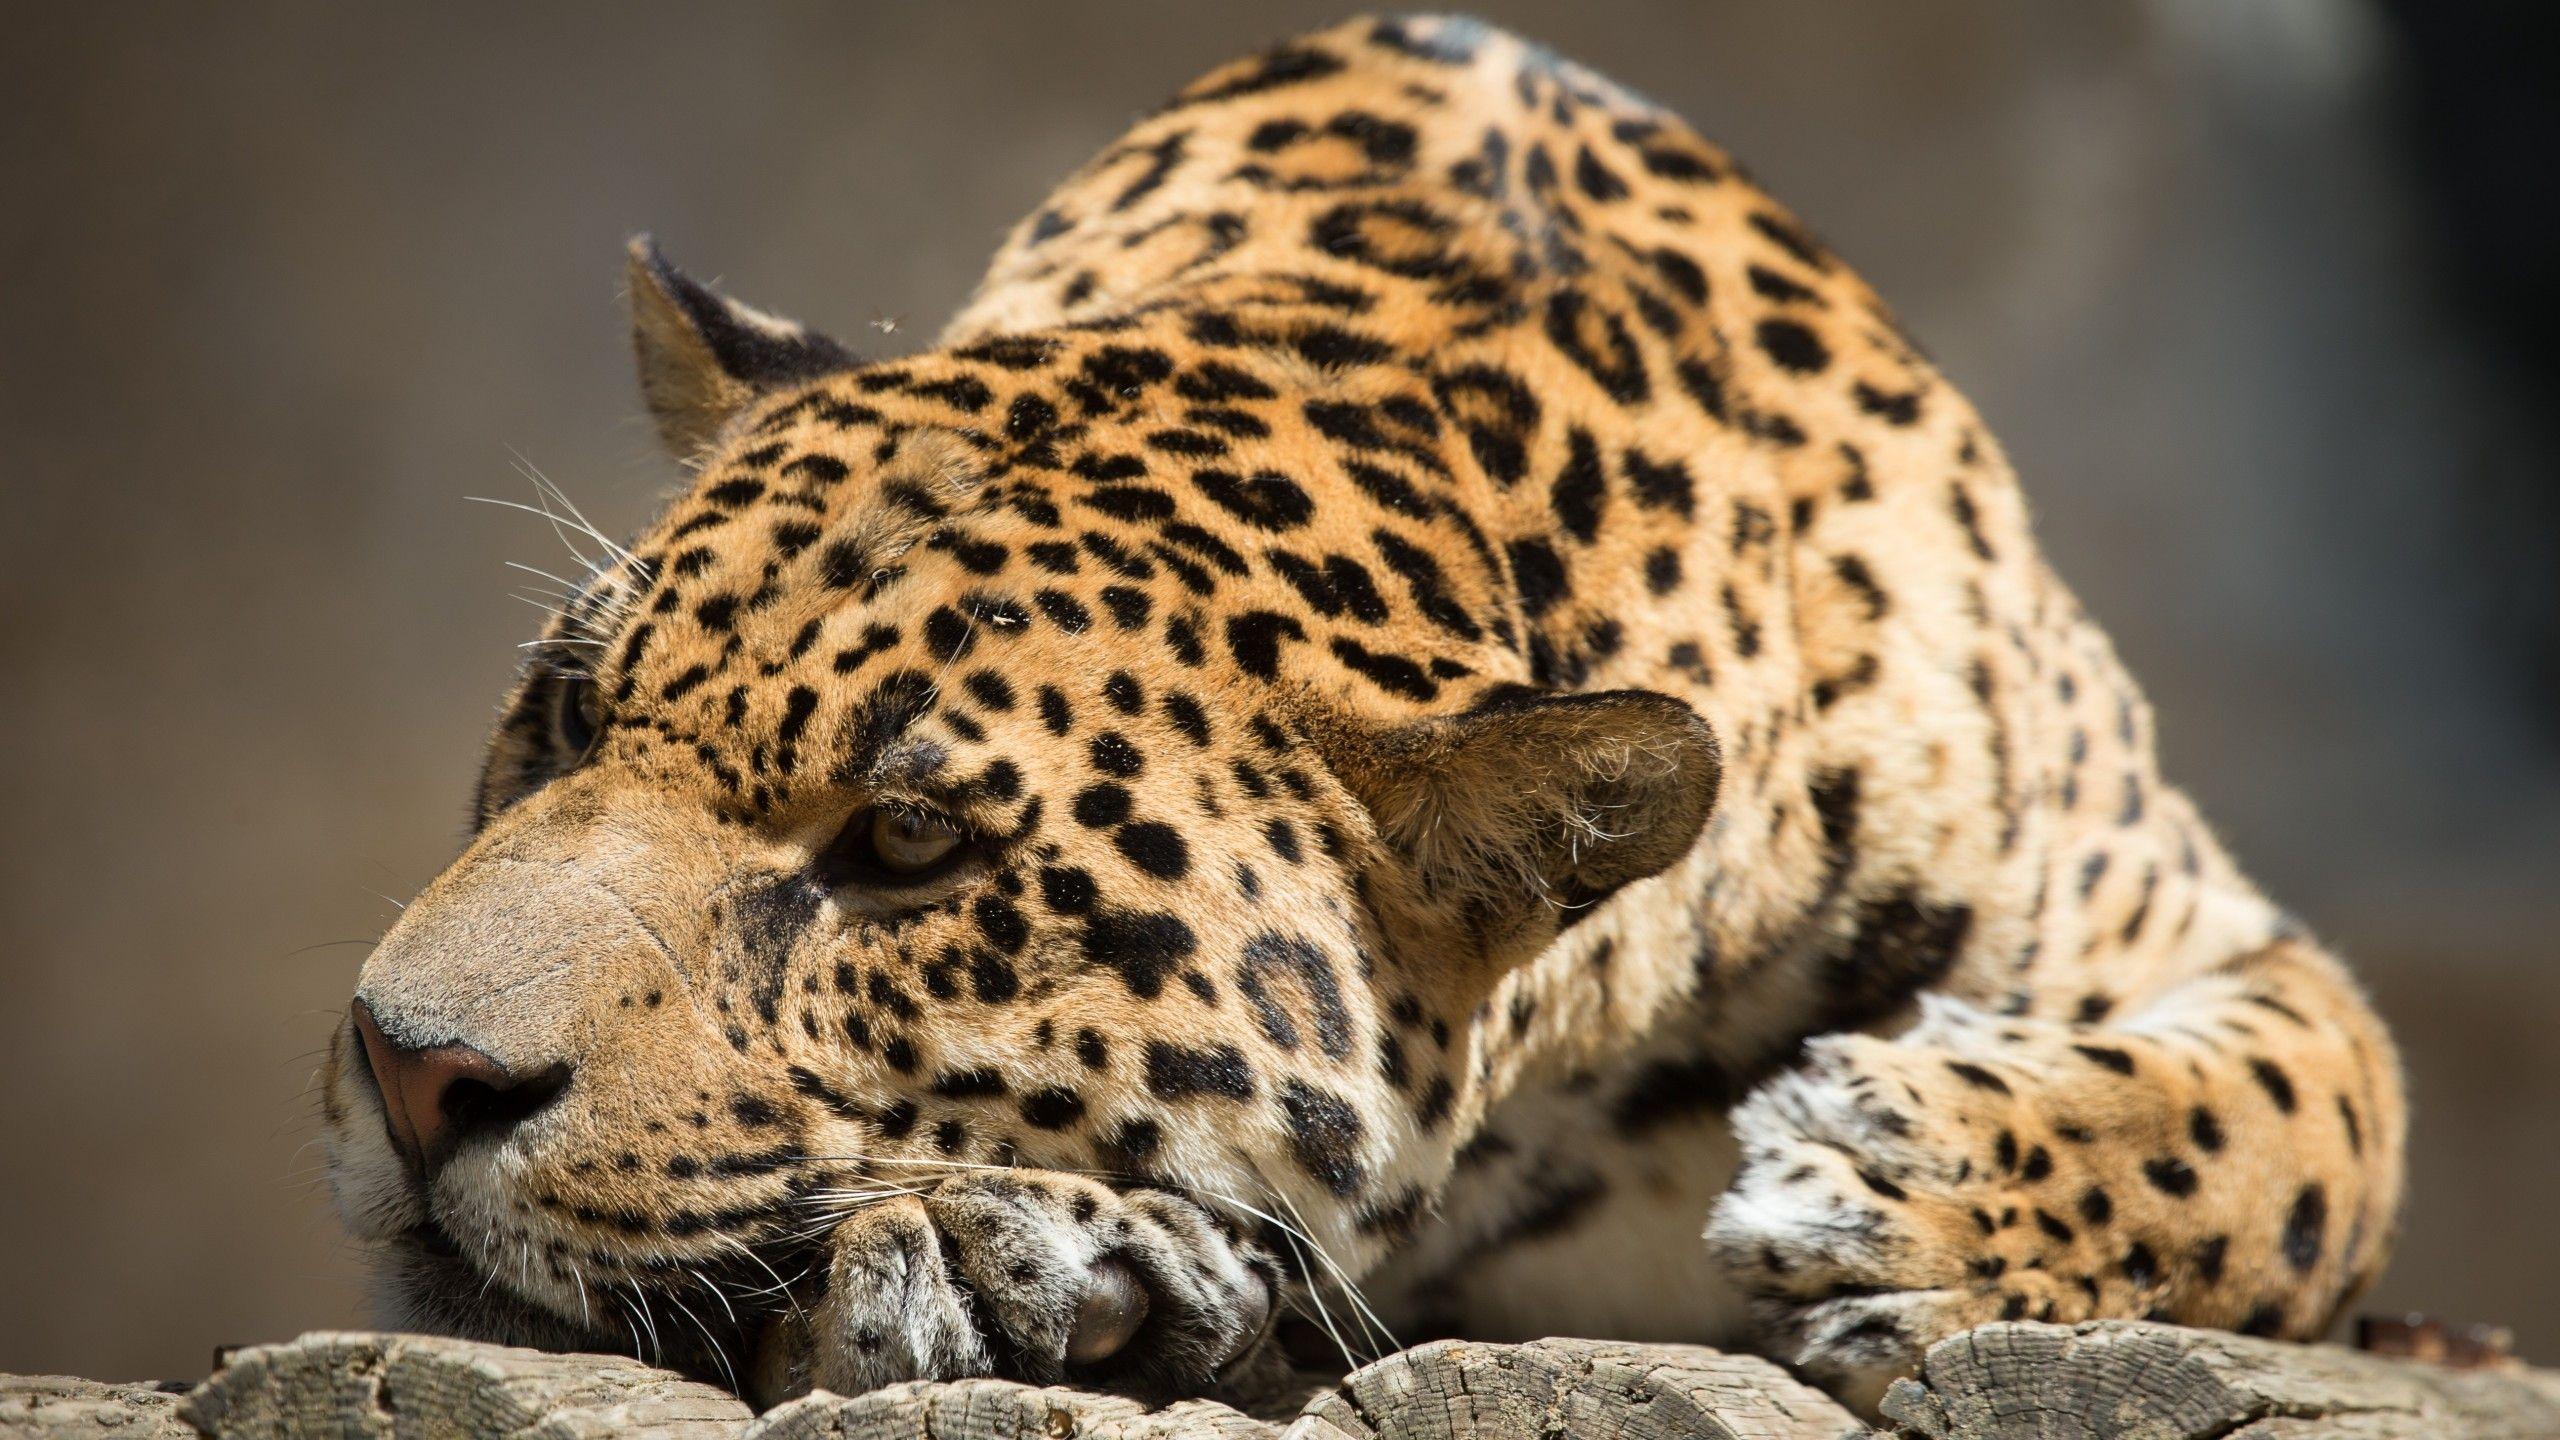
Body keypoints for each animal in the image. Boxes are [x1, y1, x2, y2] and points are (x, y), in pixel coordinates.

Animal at [317, 14, 2407, 1414]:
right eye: (567, 715)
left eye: (908, 844)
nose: (412, 1070)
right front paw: (1027, 1255)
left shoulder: (2194, 921)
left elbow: (2307, 1128)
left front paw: (1889, 1195)